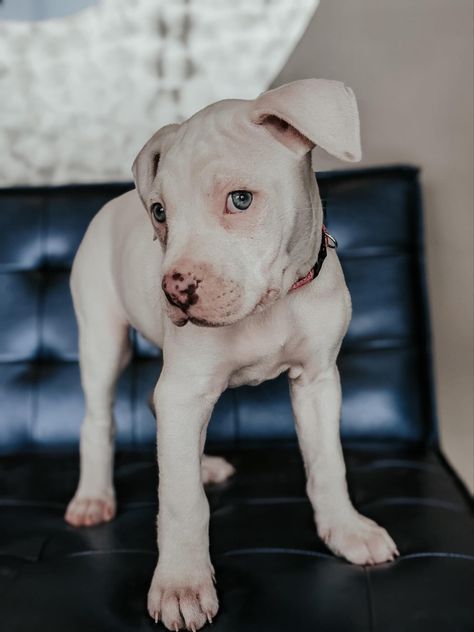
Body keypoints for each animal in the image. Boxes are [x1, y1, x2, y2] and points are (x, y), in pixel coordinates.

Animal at [65, 79, 400, 632]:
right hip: (101, 339)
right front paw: (182, 585)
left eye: (240, 200)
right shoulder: (186, 389)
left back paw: (200, 464)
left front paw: (346, 530)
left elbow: (328, 463)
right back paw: (94, 496)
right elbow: (182, 502)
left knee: (158, 414)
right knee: (98, 420)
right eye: (160, 213)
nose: (174, 291)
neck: (271, 307)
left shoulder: (317, 381)